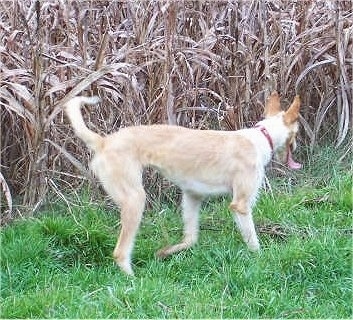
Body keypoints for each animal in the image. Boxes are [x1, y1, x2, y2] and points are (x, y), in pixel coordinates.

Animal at [64, 90, 302, 276]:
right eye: (298, 130)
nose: (297, 146)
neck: (262, 136)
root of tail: (104, 141)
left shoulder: (192, 197)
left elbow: (190, 238)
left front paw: (166, 252)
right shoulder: (241, 205)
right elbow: (253, 240)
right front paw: (260, 259)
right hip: (135, 200)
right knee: (120, 252)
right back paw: (133, 281)